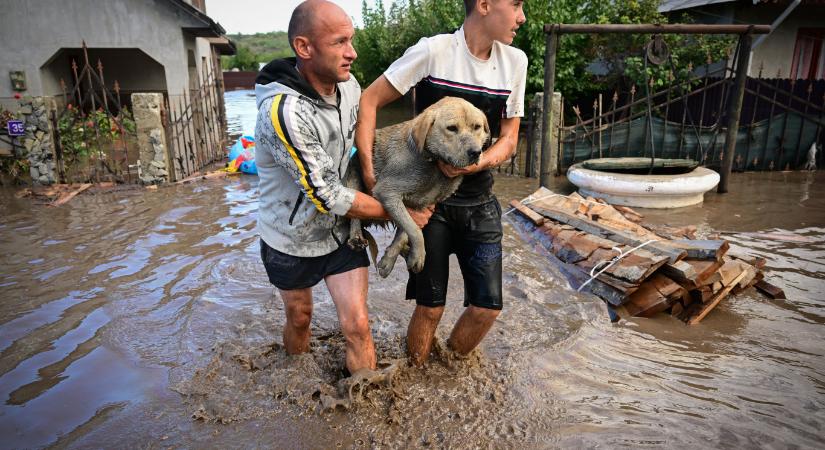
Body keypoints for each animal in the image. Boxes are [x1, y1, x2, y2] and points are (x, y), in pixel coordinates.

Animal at [342, 96, 486, 276]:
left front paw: (390, 259)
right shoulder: (387, 192)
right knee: (354, 215)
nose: (475, 152)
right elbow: (415, 230)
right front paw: (418, 255)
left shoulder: (420, 206)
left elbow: (406, 230)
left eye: (477, 127)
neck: (434, 164)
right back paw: (356, 237)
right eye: (452, 128)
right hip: (353, 179)